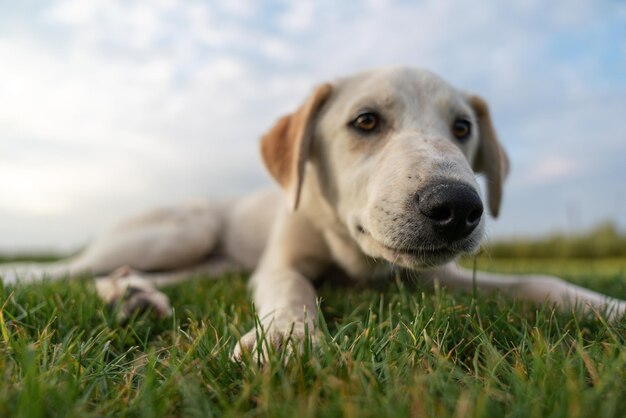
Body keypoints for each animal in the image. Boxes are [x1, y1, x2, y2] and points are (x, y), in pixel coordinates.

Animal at [1, 66, 624, 360]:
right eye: (365, 121)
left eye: (462, 128)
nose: (458, 208)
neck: (357, 259)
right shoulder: (278, 265)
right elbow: (291, 290)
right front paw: (285, 340)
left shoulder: (439, 276)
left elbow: (540, 281)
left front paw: (608, 306)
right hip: (182, 230)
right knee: (63, 272)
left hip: (211, 264)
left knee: (137, 276)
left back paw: (132, 295)